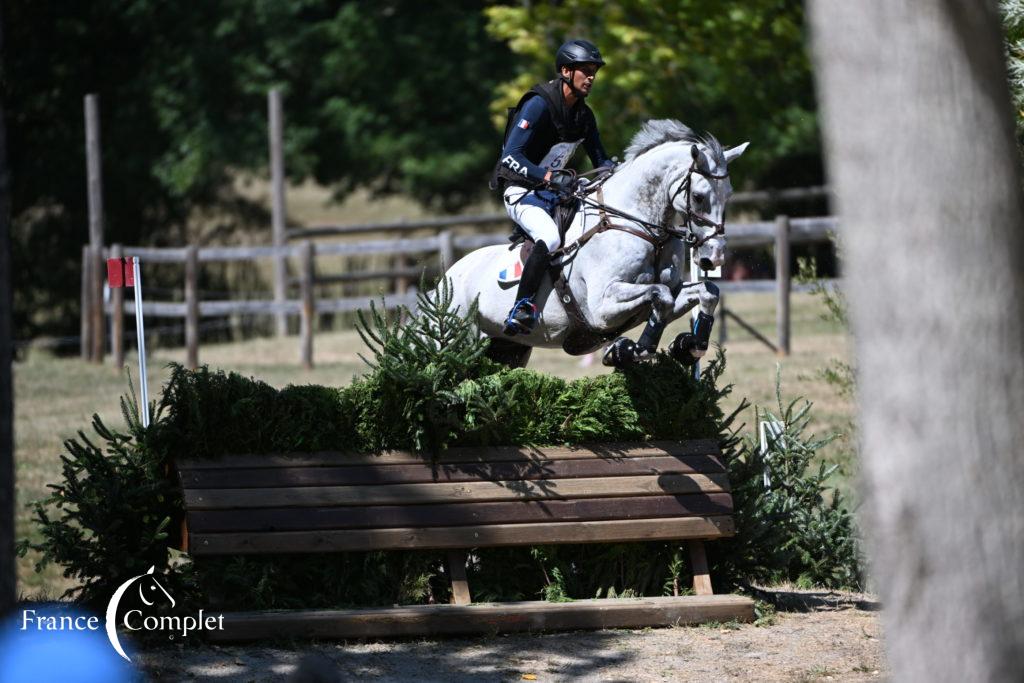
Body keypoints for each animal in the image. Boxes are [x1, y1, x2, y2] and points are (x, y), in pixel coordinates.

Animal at [444, 120, 749, 370]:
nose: (714, 257)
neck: (645, 229)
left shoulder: (666, 295)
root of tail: (447, 277)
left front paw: (689, 347)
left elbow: (706, 291)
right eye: (698, 197)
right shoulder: (602, 308)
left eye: (729, 195)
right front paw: (633, 351)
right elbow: (660, 295)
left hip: (508, 350)